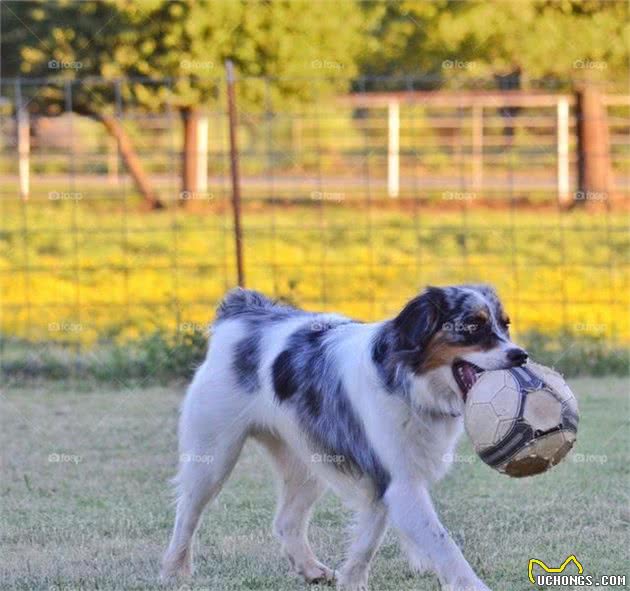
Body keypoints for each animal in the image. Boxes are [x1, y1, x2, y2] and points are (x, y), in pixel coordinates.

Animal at [162, 284, 528, 588]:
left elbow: (369, 537)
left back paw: (310, 569)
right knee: (187, 513)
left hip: (309, 464)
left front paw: (351, 580)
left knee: (285, 522)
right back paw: (174, 570)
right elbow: (442, 543)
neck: (410, 382)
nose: (520, 355)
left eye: (505, 325)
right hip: (213, 458)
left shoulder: (385, 482)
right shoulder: (400, 483)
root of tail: (243, 311)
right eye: (473, 326)